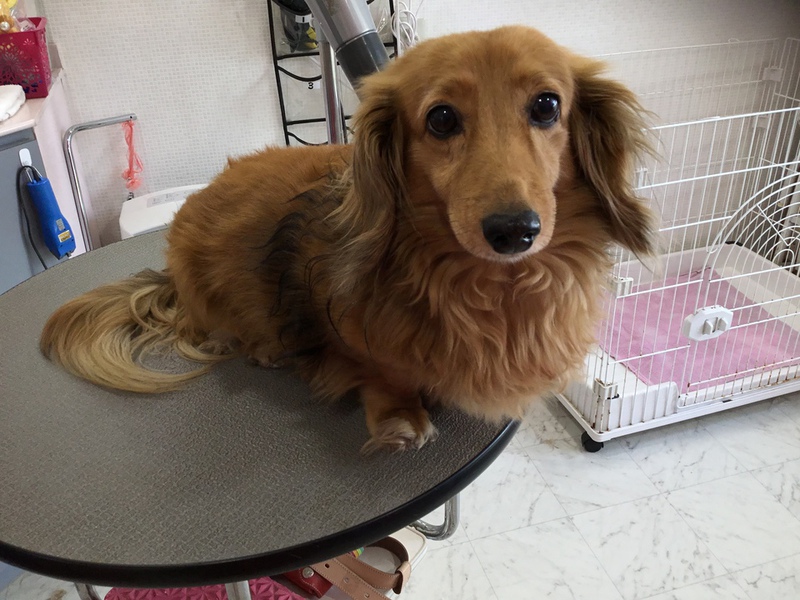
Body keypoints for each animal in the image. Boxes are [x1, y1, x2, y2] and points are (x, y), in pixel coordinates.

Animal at [40, 25, 656, 453]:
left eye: (547, 105)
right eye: (441, 119)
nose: (514, 231)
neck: (483, 286)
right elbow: (381, 370)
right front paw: (400, 414)